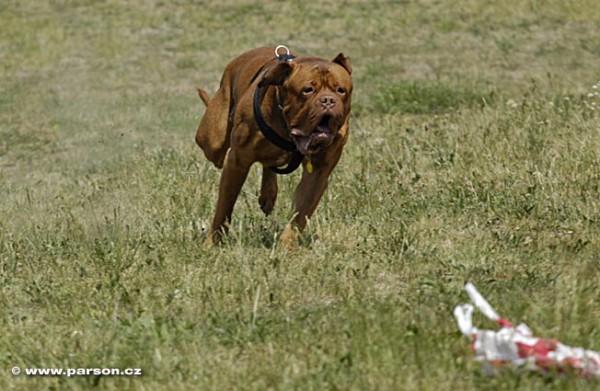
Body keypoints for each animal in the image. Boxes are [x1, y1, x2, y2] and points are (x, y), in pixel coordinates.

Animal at [196, 46, 352, 248]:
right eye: (307, 90)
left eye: (341, 90)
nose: (328, 100)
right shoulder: (237, 162)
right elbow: (224, 207)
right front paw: (212, 242)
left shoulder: (317, 173)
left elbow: (299, 215)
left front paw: (287, 247)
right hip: (212, 142)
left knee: (268, 163)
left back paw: (268, 195)